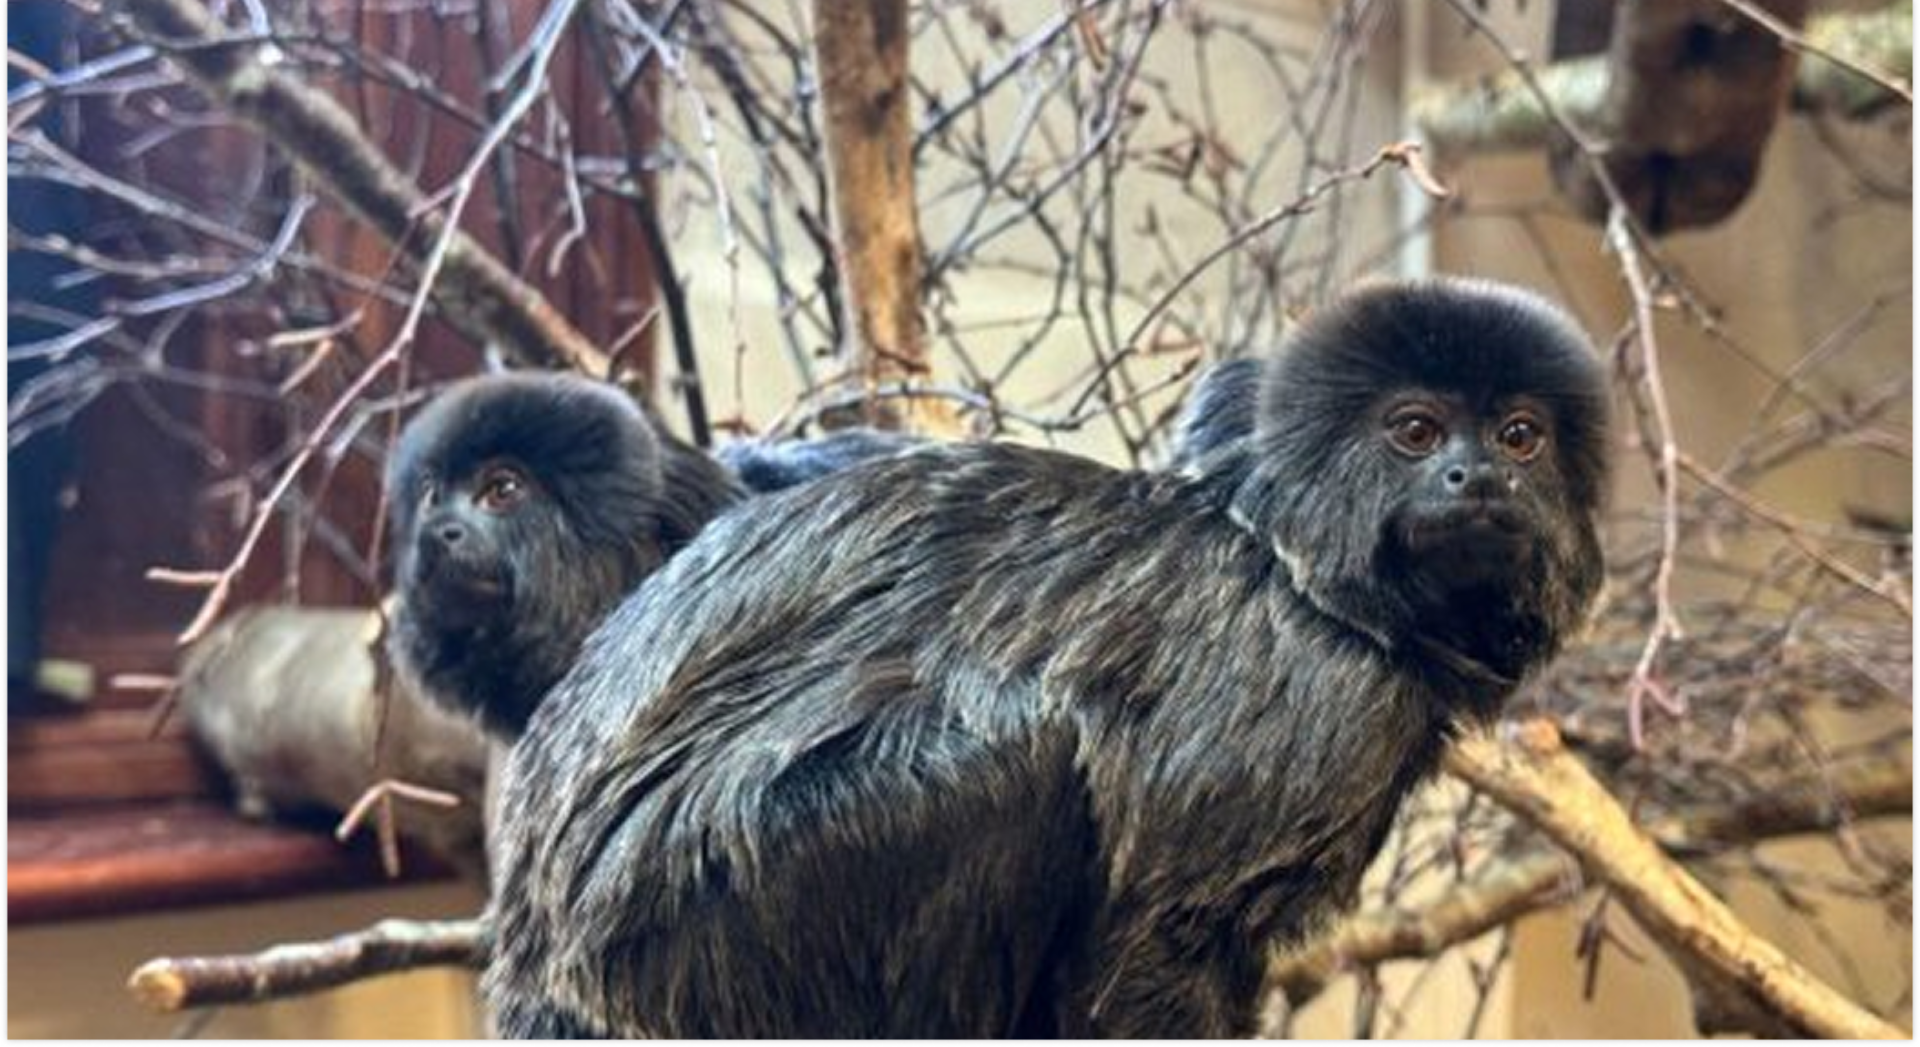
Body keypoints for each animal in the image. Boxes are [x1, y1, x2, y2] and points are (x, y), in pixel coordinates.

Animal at [482, 278, 1611, 1039]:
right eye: (1416, 432)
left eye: (1519, 437)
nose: (1476, 478)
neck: (1296, 574)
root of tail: (534, 950)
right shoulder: (1313, 707)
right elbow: (1156, 932)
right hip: (698, 923)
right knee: (1024, 769)